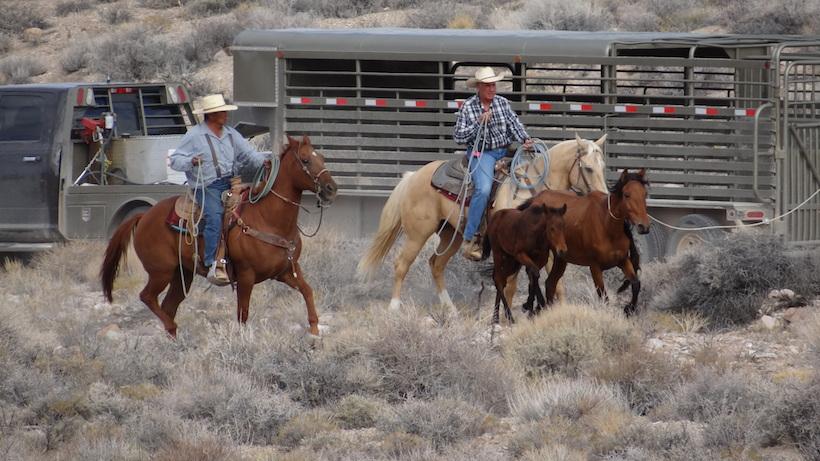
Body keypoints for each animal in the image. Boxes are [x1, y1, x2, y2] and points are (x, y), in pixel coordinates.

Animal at [100, 135, 338, 337]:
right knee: (147, 297)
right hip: (161, 271)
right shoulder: (246, 276)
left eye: (322, 158)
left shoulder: (287, 271)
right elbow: (243, 314)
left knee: (168, 305)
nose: (331, 188)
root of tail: (144, 215)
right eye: (305, 160)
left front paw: (314, 330)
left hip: (181, 274)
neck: (269, 218)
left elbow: (307, 291)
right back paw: (172, 327)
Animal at [357, 134, 608, 311]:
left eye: (603, 166)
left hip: (452, 235)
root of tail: (413, 177)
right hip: (417, 234)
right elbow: (511, 286)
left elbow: (558, 284)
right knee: (401, 264)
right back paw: (394, 308)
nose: (604, 197)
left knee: (436, 265)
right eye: (588, 168)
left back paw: (450, 310)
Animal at [531, 169, 650, 315]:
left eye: (645, 194)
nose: (644, 226)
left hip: (561, 258)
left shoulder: (623, 261)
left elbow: (636, 284)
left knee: (550, 283)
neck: (607, 226)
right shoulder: (595, 267)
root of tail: (535, 200)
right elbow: (603, 296)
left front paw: (629, 309)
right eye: (627, 195)